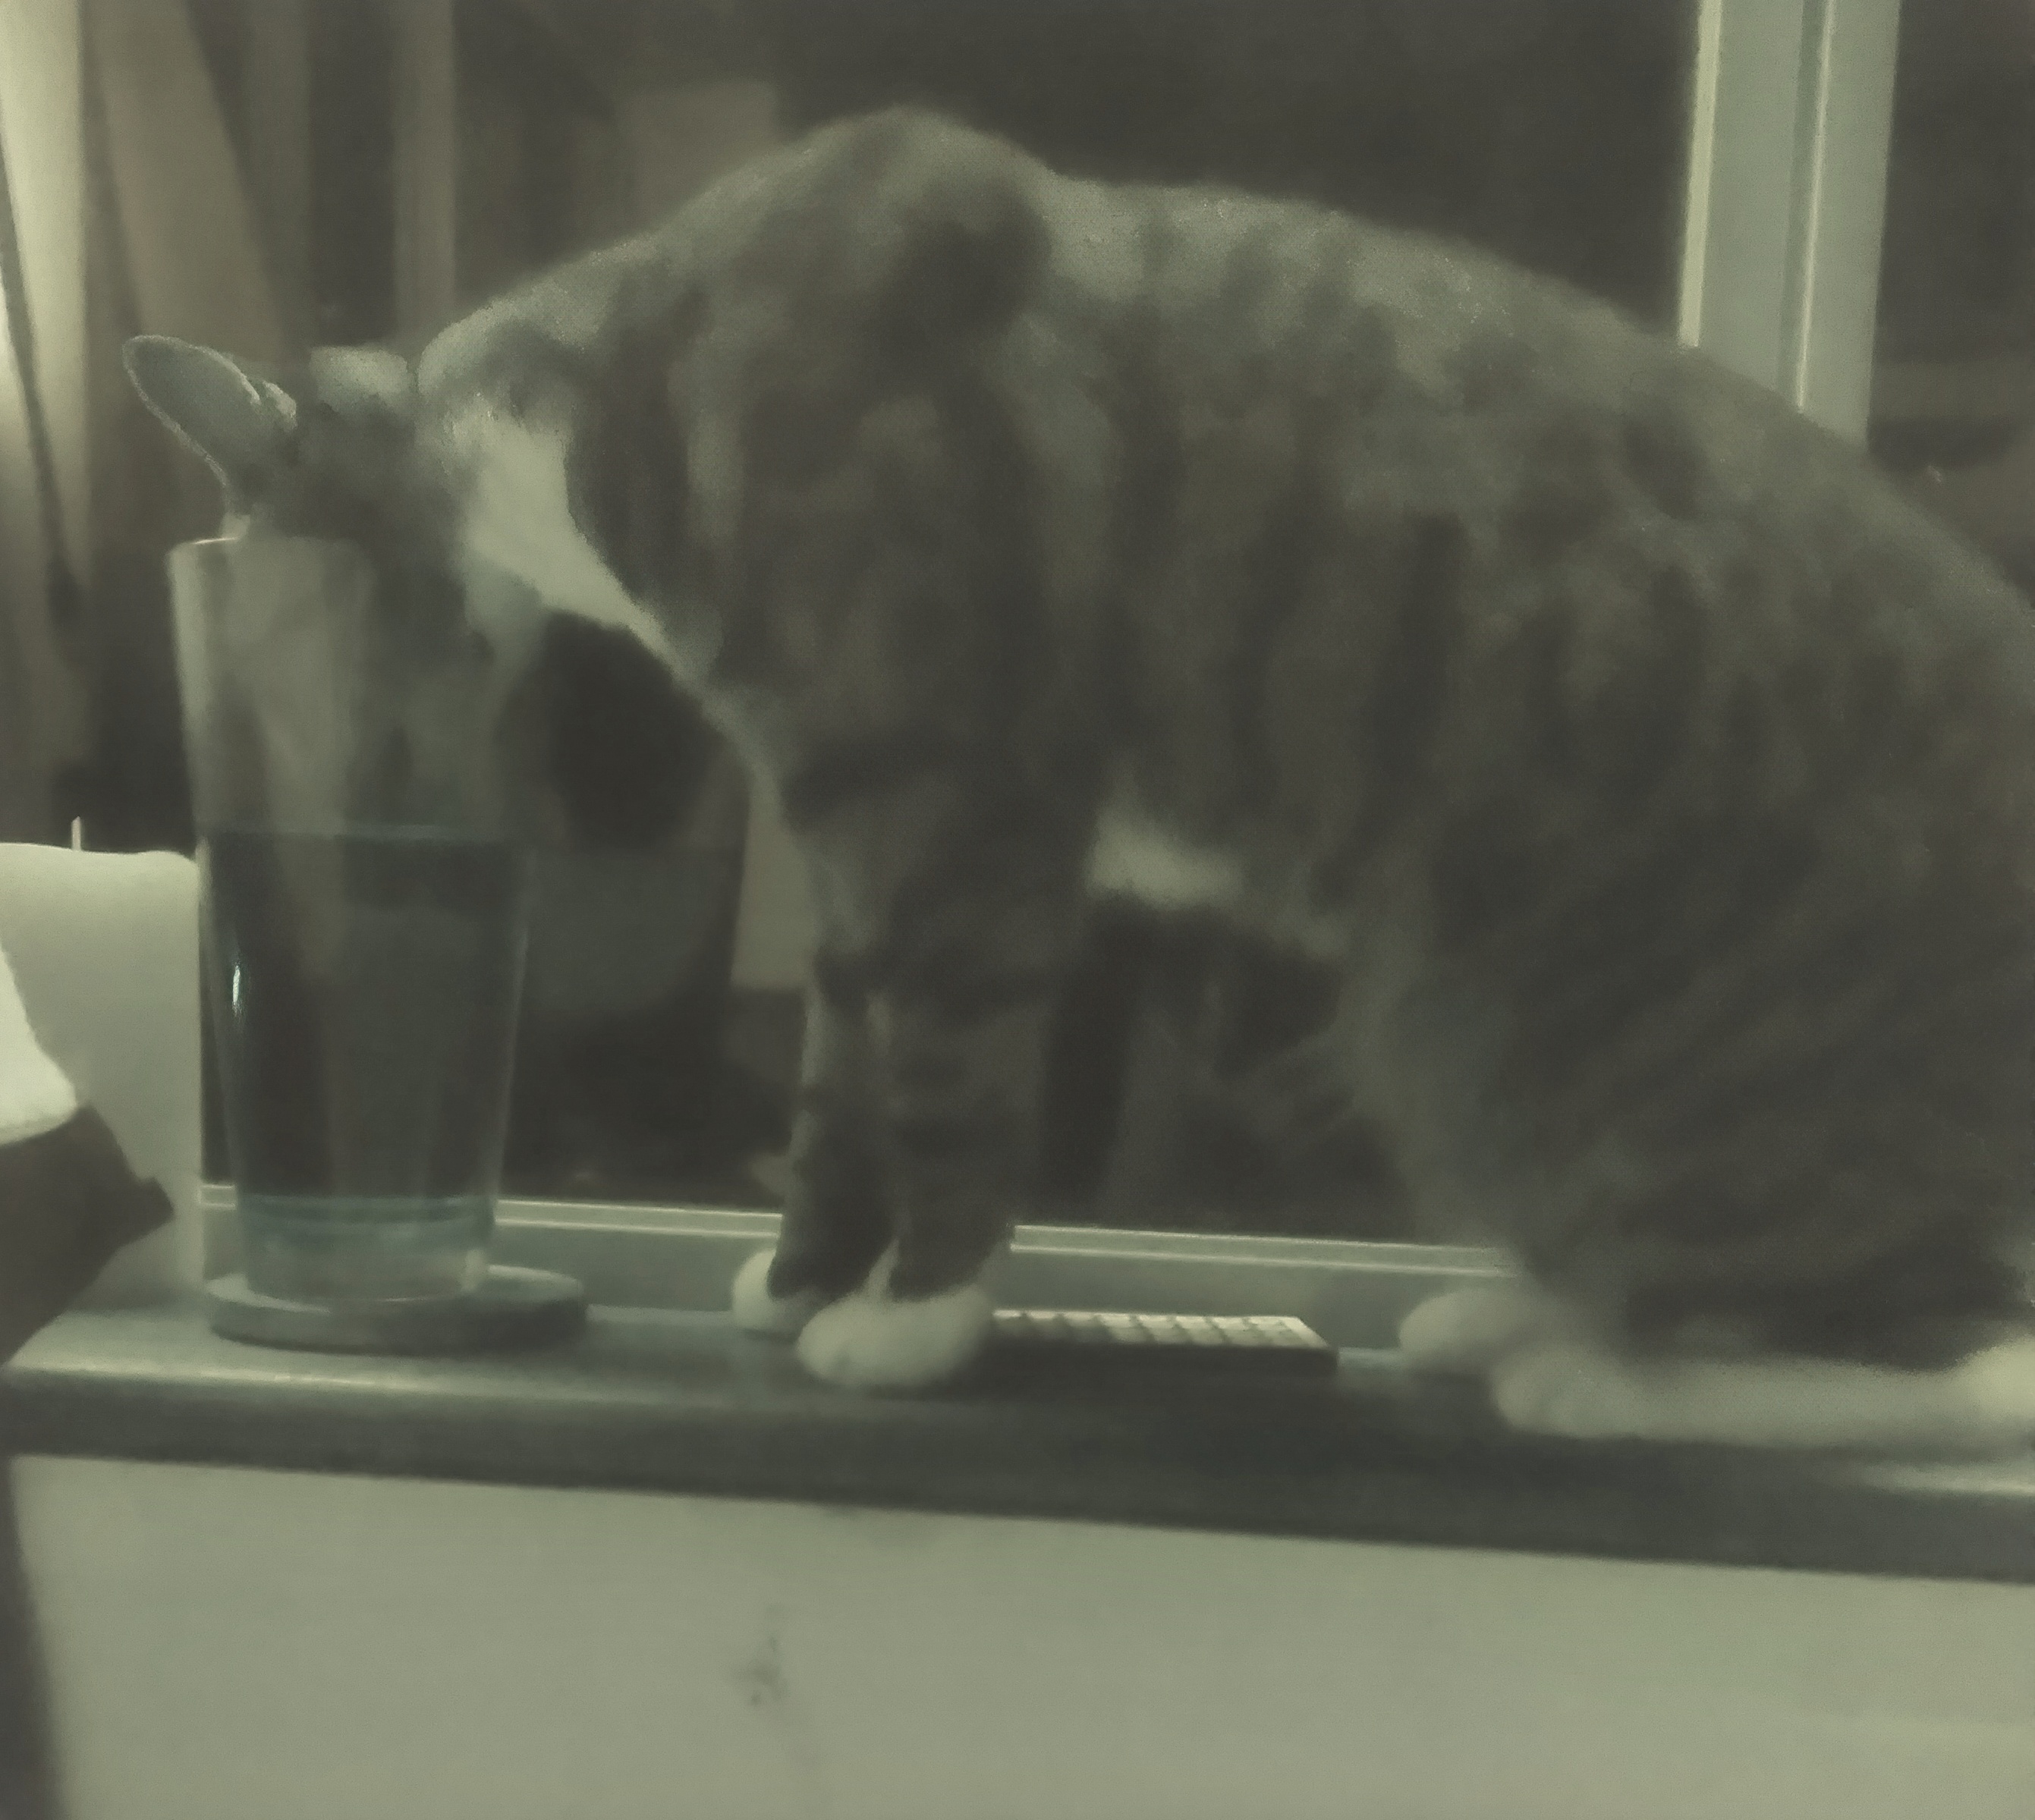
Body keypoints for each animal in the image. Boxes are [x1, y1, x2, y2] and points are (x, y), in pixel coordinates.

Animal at [131, 110, 2035, 1449]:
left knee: (1969, 1354)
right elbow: (836, 1085)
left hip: (1552, 1054)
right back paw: (1523, 1318)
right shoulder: (851, 827)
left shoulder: (958, 802)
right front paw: (803, 1273)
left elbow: (952, 1078)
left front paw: (914, 1318)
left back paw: (1601, 1377)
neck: (567, 402)